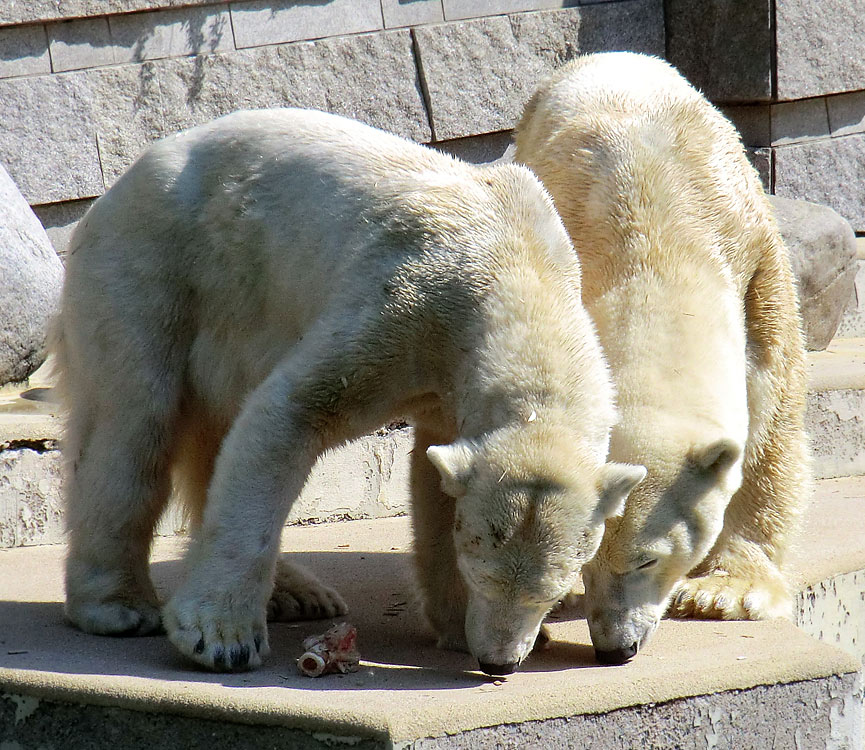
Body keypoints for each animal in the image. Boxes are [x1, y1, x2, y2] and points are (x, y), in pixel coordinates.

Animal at [55, 104, 648, 676]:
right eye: (484, 571)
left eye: (552, 592)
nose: (497, 661)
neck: (519, 265)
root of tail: (121, 185)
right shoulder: (406, 305)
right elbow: (292, 412)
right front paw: (221, 638)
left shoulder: (451, 382)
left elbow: (434, 479)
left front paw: (462, 625)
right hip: (155, 266)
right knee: (133, 424)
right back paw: (119, 606)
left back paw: (296, 592)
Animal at [512, 51, 808, 664]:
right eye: (584, 559)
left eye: (648, 557)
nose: (616, 646)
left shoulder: (752, 255)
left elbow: (773, 406)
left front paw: (728, 591)